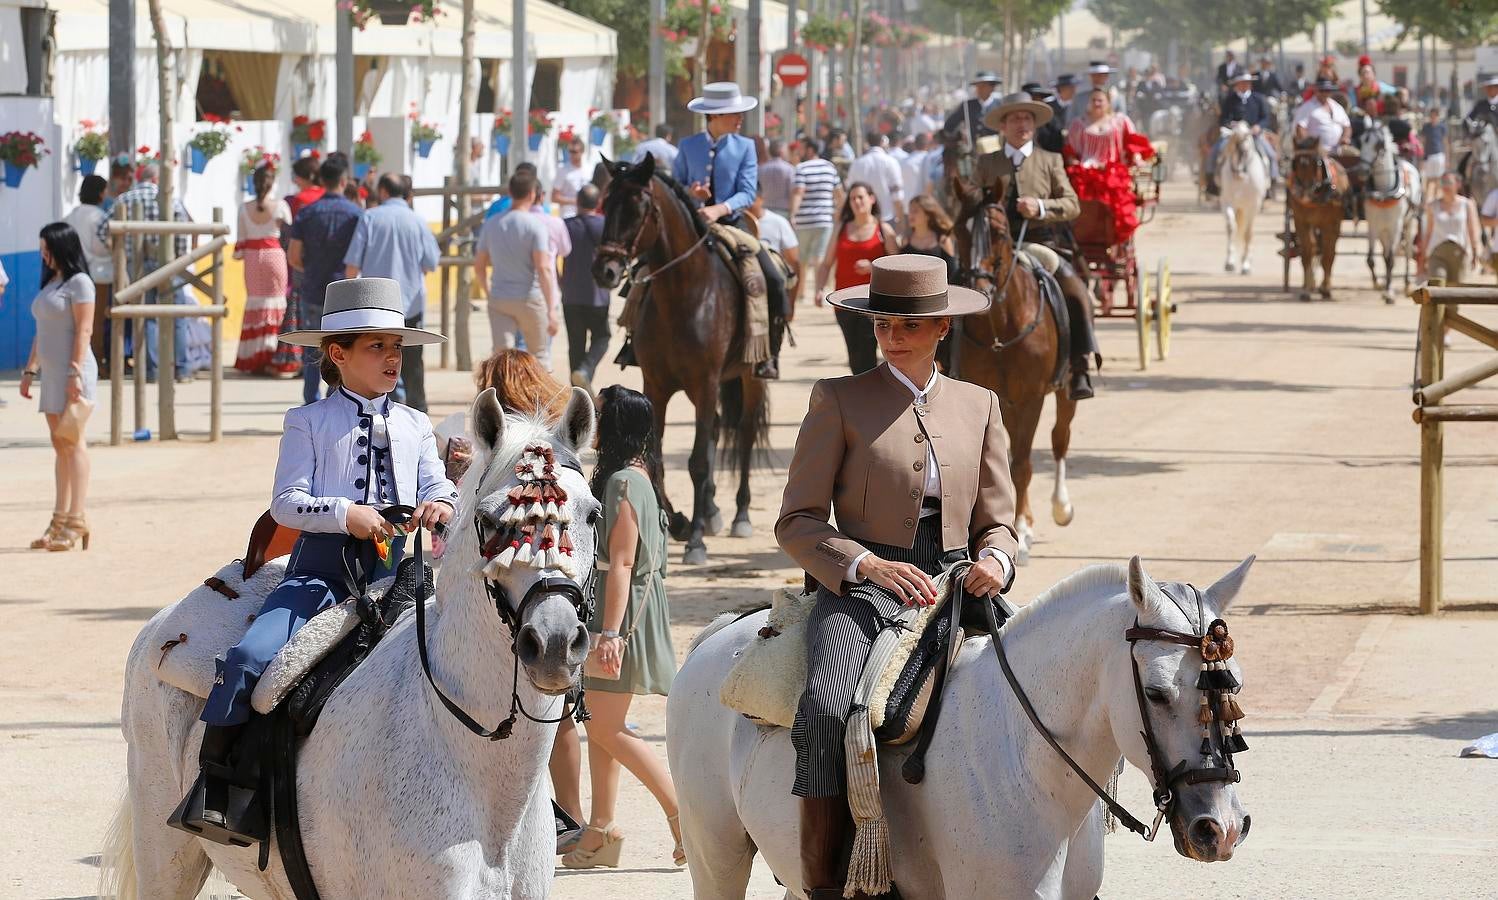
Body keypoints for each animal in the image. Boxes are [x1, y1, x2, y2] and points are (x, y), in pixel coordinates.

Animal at [590, 154, 766, 563]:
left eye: (637, 208)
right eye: (605, 204)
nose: (605, 270)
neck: (685, 293)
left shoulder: (705, 382)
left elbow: (698, 462)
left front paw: (696, 538)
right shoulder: (657, 385)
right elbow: (652, 452)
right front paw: (681, 520)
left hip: (748, 376)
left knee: (745, 433)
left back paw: (740, 515)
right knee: (716, 428)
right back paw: (713, 510)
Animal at [665, 554, 1252, 898]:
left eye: (1234, 689)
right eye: (1156, 692)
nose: (1220, 829)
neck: (1026, 764)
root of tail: (721, 636)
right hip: (715, 854)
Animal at [940, 134, 1072, 563]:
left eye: (998, 231)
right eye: (958, 232)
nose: (977, 289)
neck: (1001, 325)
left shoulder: (1031, 397)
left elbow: (1023, 464)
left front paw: (1023, 530)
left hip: (1065, 389)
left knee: (1059, 438)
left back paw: (1060, 507)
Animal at [1282, 134, 1354, 299]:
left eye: (1317, 163)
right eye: (1295, 163)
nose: (1303, 193)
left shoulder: (1331, 223)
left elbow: (1328, 253)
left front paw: (1326, 288)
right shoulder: (1301, 221)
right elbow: (1308, 251)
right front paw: (1307, 289)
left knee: (1327, 250)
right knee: (1315, 247)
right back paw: (1310, 283)